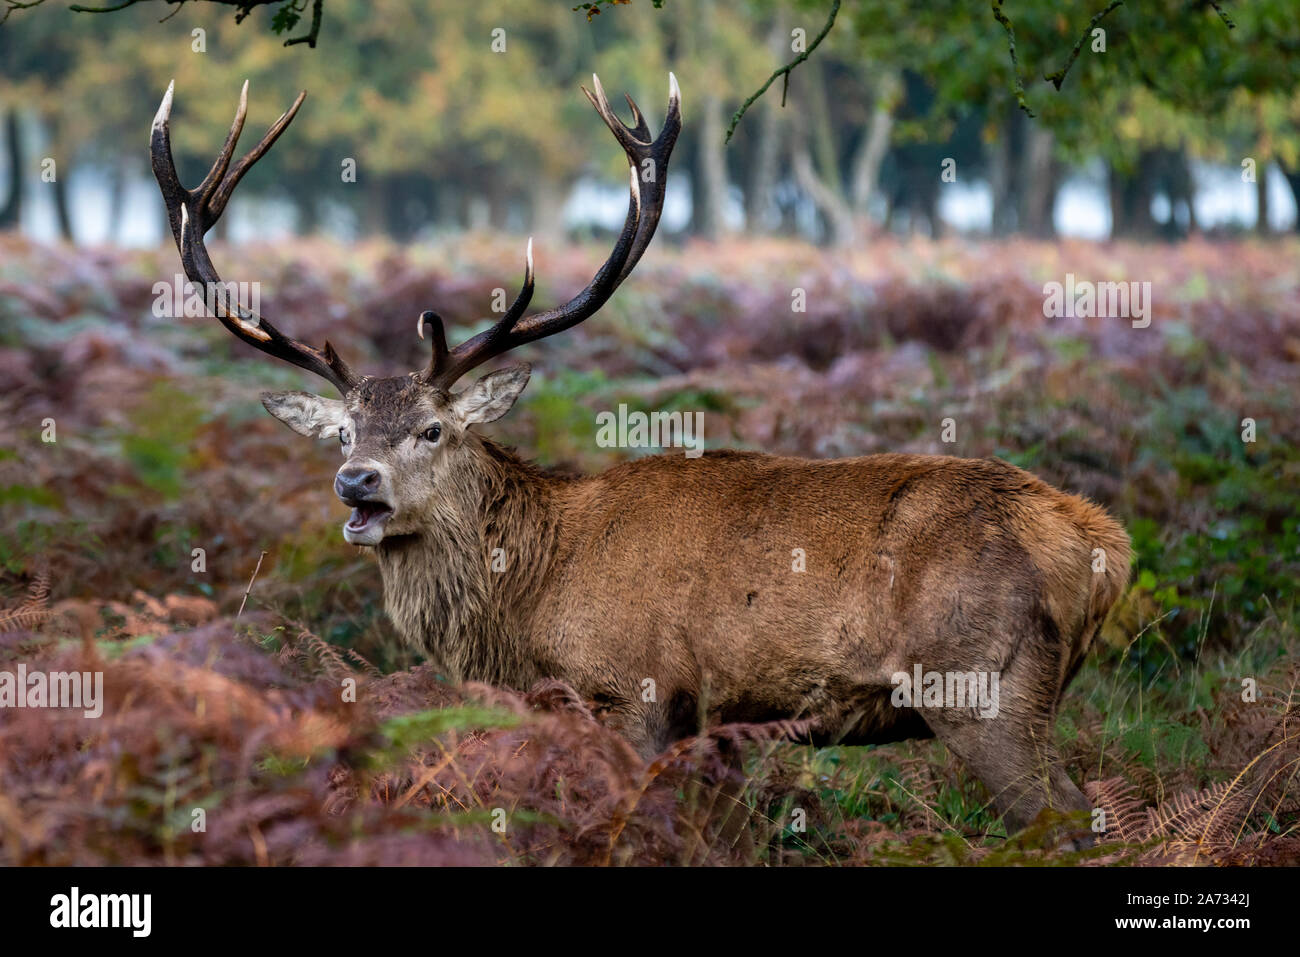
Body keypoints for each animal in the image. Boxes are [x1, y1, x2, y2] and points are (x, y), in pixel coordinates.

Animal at [151, 76, 1131, 845]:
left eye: (432, 428)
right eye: (345, 431)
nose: (356, 483)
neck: (532, 605)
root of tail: (1103, 544)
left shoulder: (642, 694)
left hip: (986, 686)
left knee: (1077, 822)